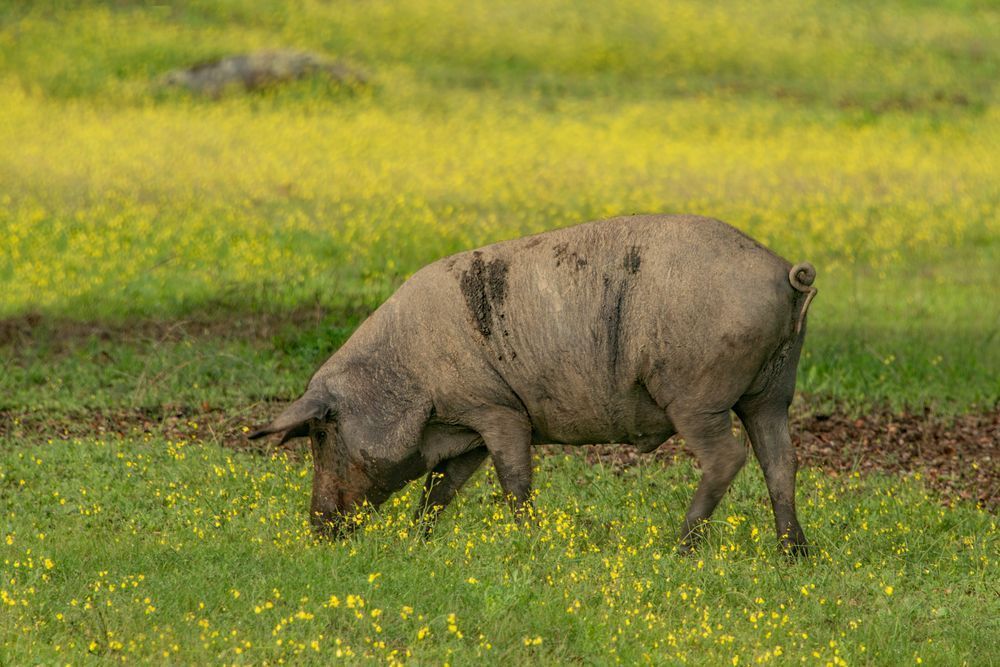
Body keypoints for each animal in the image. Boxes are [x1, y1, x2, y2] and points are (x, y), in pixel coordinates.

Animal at [249, 215, 817, 555]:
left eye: (322, 433)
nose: (318, 528)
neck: (409, 373)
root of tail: (784, 273)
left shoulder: (497, 410)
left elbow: (514, 480)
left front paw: (526, 543)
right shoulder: (466, 427)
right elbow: (441, 488)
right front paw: (418, 542)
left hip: (696, 394)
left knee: (729, 456)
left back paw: (678, 548)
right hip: (772, 392)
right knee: (781, 460)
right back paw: (793, 555)